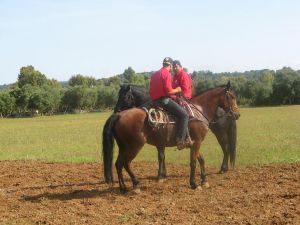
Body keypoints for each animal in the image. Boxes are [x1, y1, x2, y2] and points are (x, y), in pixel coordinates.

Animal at [102, 81, 239, 192]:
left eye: (124, 96)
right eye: (232, 96)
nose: (237, 114)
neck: (198, 111)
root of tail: (119, 116)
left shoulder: (193, 143)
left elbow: (200, 159)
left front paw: (204, 180)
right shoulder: (196, 142)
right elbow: (193, 162)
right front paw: (193, 183)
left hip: (124, 147)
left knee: (118, 164)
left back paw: (123, 187)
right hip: (133, 147)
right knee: (125, 163)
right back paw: (135, 184)